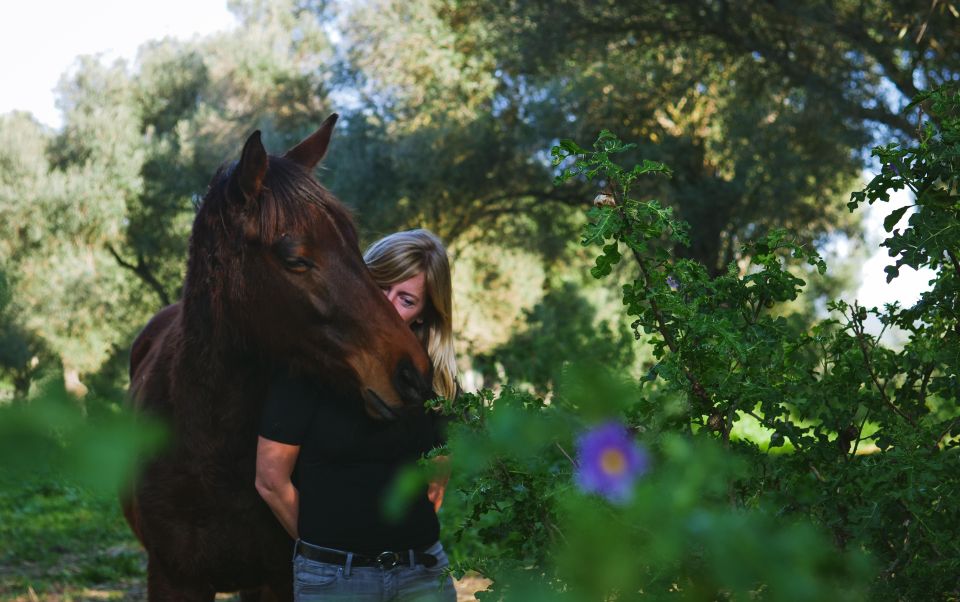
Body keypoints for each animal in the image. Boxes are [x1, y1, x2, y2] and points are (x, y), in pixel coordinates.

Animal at [125, 115, 434, 596]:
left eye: (355, 244)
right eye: (296, 259)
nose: (413, 375)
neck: (210, 449)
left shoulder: (274, 578)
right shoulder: (173, 578)